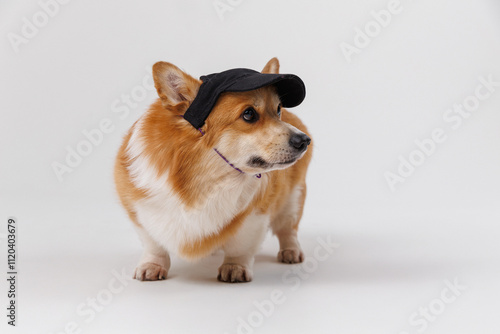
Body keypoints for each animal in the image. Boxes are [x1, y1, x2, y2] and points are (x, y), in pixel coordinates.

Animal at [114, 57, 310, 282]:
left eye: (278, 110)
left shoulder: (255, 216)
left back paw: (291, 252)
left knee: (288, 230)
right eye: (249, 114)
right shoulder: (140, 210)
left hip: (293, 200)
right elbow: (153, 244)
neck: (207, 178)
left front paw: (235, 267)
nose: (305, 140)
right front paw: (152, 266)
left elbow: (241, 246)